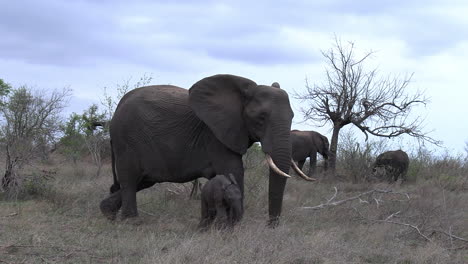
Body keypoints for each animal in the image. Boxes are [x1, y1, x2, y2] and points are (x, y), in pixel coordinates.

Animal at [98, 73, 310, 225]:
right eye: (261, 118)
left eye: (292, 116)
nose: (270, 225)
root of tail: (116, 110)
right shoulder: (215, 134)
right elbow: (234, 170)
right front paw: (234, 224)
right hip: (127, 140)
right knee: (130, 179)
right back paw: (131, 222)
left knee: (142, 180)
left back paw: (107, 213)